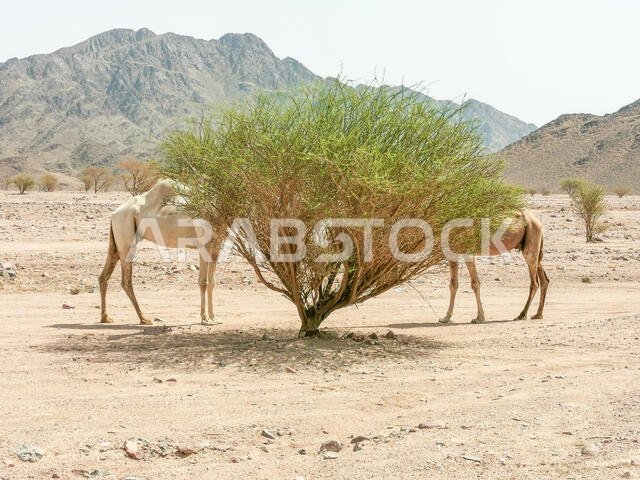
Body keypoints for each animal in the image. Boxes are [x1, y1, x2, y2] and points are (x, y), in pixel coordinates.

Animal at [98, 179, 224, 325]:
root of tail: (114, 214)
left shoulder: (217, 245)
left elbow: (212, 281)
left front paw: (214, 317)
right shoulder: (203, 245)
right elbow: (203, 282)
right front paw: (204, 318)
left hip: (116, 240)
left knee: (104, 275)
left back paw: (106, 317)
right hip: (125, 231)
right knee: (126, 280)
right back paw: (144, 318)